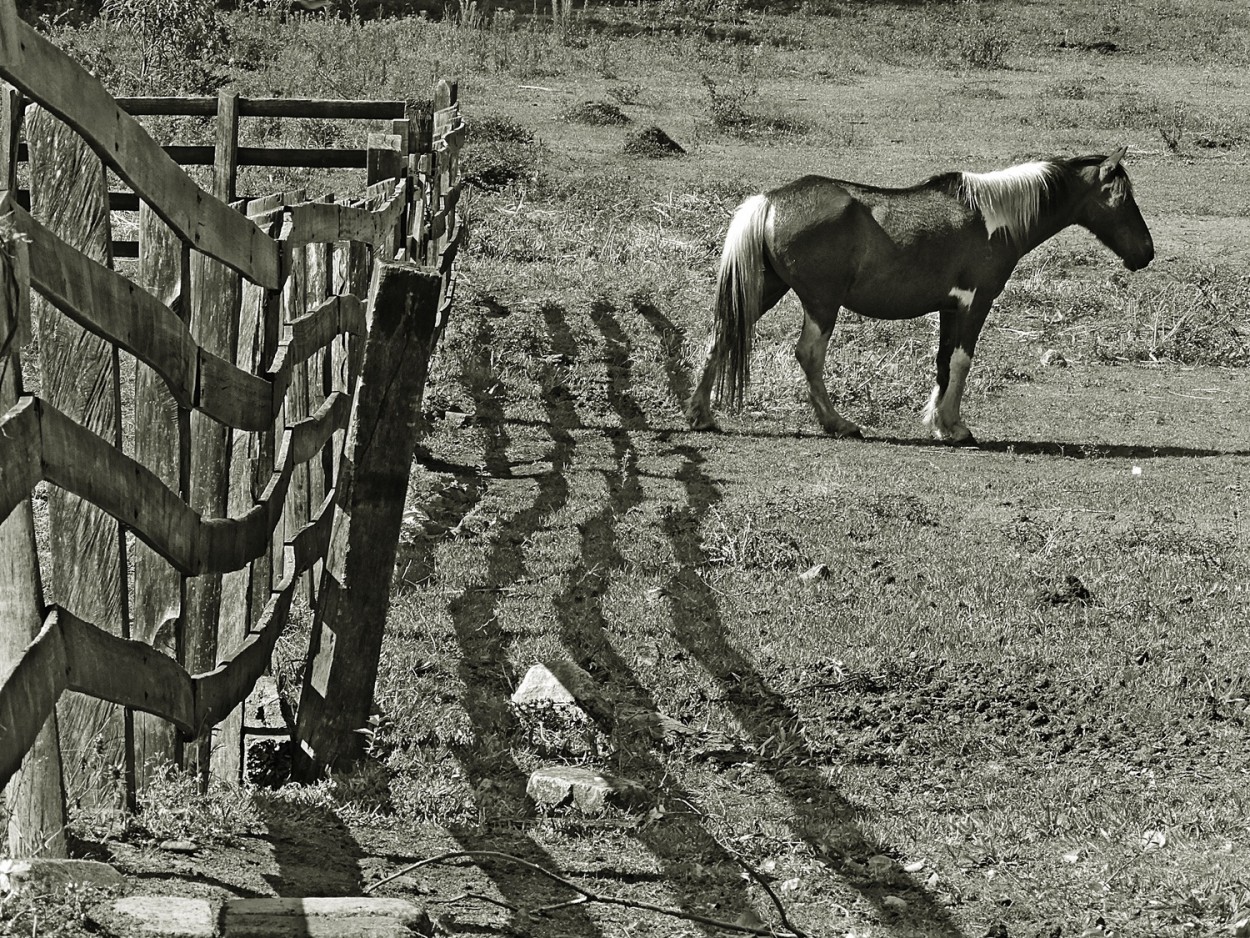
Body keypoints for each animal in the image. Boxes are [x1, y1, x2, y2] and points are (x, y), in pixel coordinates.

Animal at [690, 147, 1155, 447]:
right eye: (1122, 197)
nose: (1147, 252)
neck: (993, 218)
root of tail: (769, 200)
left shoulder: (951, 307)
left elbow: (944, 364)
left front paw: (939, 422)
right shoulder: (975, 303)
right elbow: (962, 362)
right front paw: (955, 426)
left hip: (761, 290)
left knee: (721, 335)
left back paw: (701, 414)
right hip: (822, 304)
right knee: (808, 354)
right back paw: (838, 423)